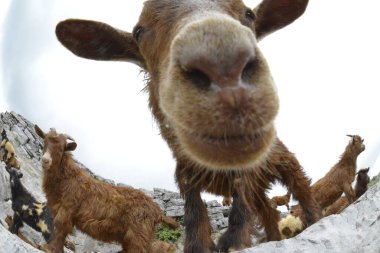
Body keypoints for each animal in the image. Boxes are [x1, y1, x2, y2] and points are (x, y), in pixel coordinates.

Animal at [35, 125, 179, 253]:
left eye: (61, 148)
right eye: (45, 141)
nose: (45, 160)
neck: (67, 177)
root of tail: (157, 211)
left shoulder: (68, 207)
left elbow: (60, 226)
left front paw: (48, 248)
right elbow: (59, 228)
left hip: (138, 234)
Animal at [54, 0, 320, 252]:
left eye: (249, 14)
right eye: (139, 32)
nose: (223, 64)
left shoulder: (245, 171)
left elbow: (240, 201)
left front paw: (233, 241)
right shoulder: (185, 176)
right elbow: (194, 212)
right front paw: (199, 245)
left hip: (285, 161)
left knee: (301, 187)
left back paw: (314, 218)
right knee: (267, 210)